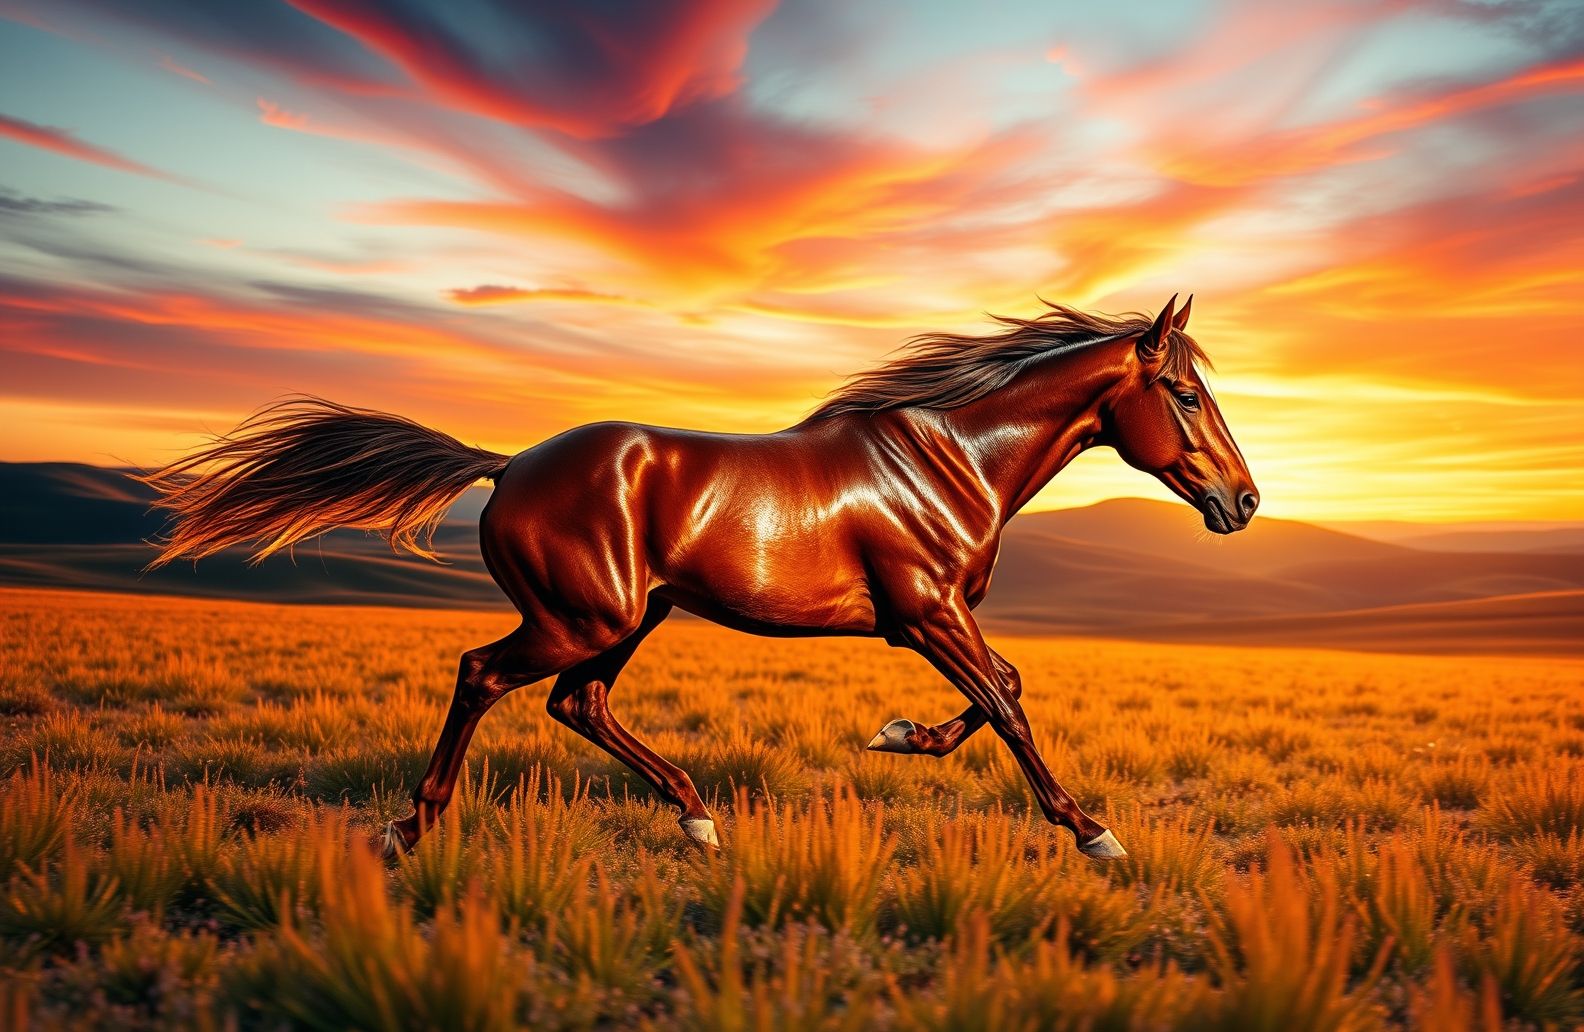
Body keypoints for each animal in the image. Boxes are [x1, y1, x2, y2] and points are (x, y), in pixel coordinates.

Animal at [141, 294, 1257, 860]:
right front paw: (1095, 832)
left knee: (576, 705)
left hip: (629, 619)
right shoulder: (926, 615)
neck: (953, 460)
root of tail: (508, 465)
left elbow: (1001, 695)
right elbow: (1011, 703)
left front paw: (898, 735)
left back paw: (696, 814)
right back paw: (410, 826)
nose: (1243, 503)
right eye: (1185, 394)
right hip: (584, 617)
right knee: (483, 674)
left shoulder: (938, 618)